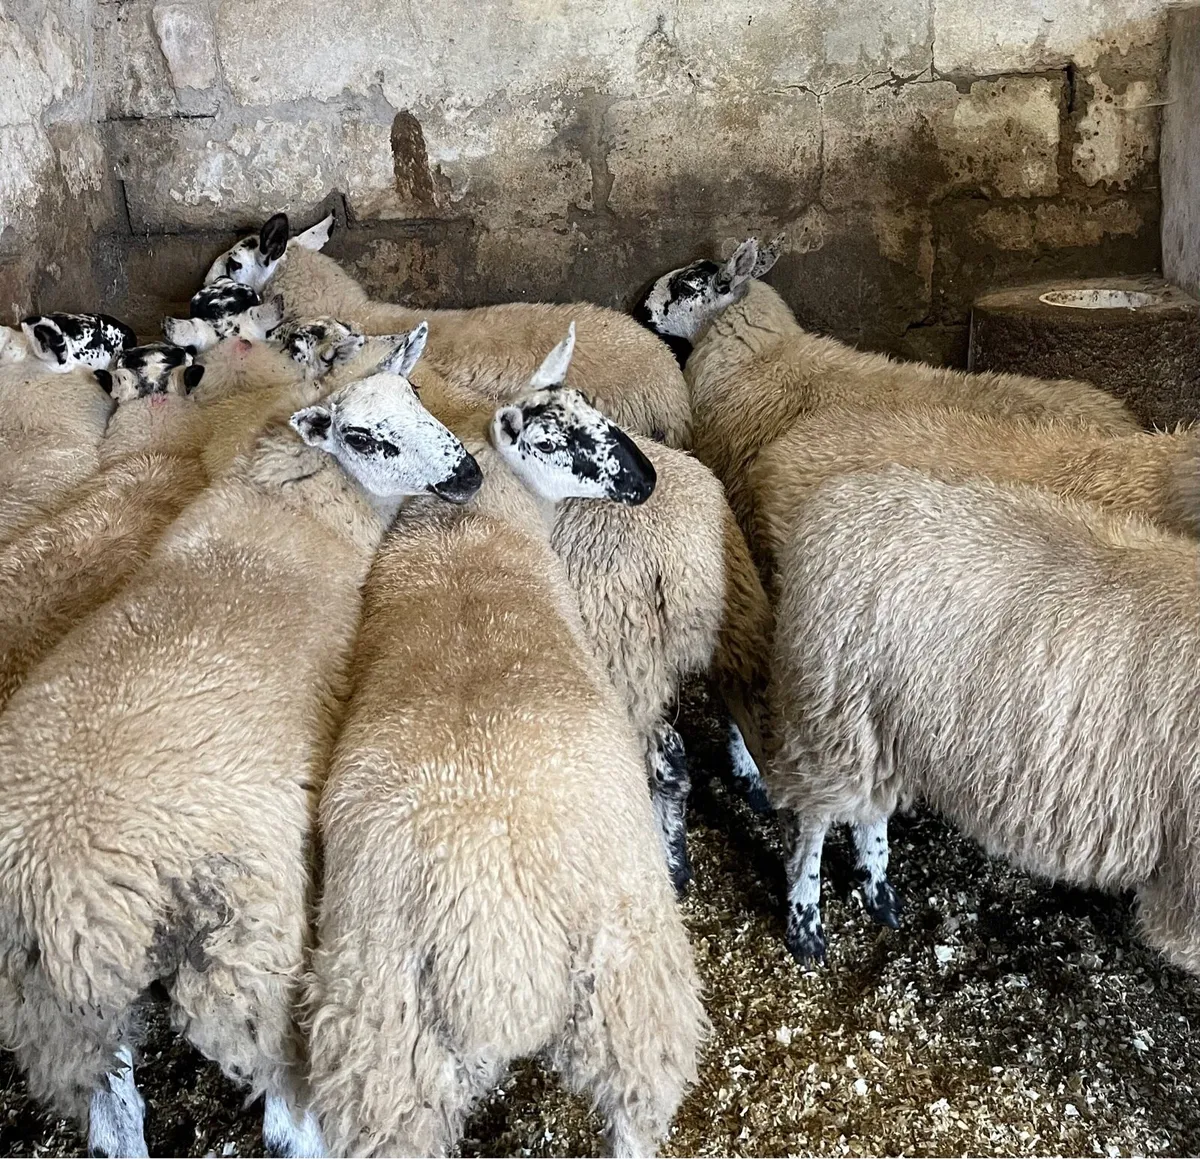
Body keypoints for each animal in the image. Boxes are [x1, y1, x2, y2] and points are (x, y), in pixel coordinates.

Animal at [0, 324, 481, 1159]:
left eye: (417, 396)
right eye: (366, 437)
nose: (470, 472)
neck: (291, 501)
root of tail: (61, 893)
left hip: (55, 1012)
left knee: (112, 1114)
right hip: (245, 948)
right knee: (286, 1107)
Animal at [304, 332, 704, 1159]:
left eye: (591, 405)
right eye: (549, 439)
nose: (645, 479)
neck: (465, 536)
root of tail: (498, 963)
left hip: (396, 1057)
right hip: (627, 981)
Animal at [765, 464, 1200, 969]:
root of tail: (832, 502)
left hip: (880, 729)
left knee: (869, 812)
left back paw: (879, 893)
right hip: (835, 718)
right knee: (811, 823)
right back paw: (806, 924)